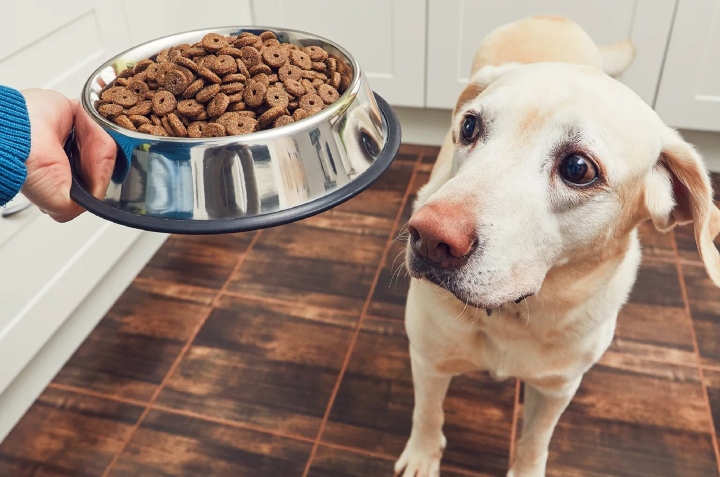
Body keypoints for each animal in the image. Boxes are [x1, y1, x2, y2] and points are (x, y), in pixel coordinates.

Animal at [394, 14, 720, 476]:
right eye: (470, 127)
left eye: (578, 168)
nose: (428, 237)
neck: (513, 316)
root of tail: (550, 16)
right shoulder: (427, 358)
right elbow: (427, 414)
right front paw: (422, 456)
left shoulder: (557, 389)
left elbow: (535, 442)